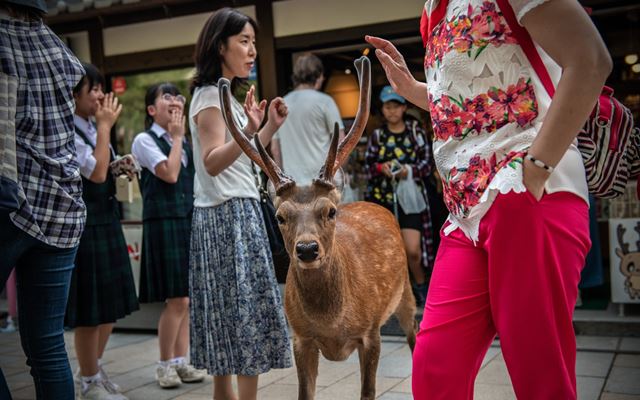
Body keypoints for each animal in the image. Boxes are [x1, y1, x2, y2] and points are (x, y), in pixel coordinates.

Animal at [219, 56, 420, 400]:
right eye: (280, 216)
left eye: (330, 211)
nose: (307, 249)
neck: (332, 323)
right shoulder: (300, 339)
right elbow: (305, 393)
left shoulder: (371, 333)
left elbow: (368, 392)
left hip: (405, 292)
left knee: (413, 336)